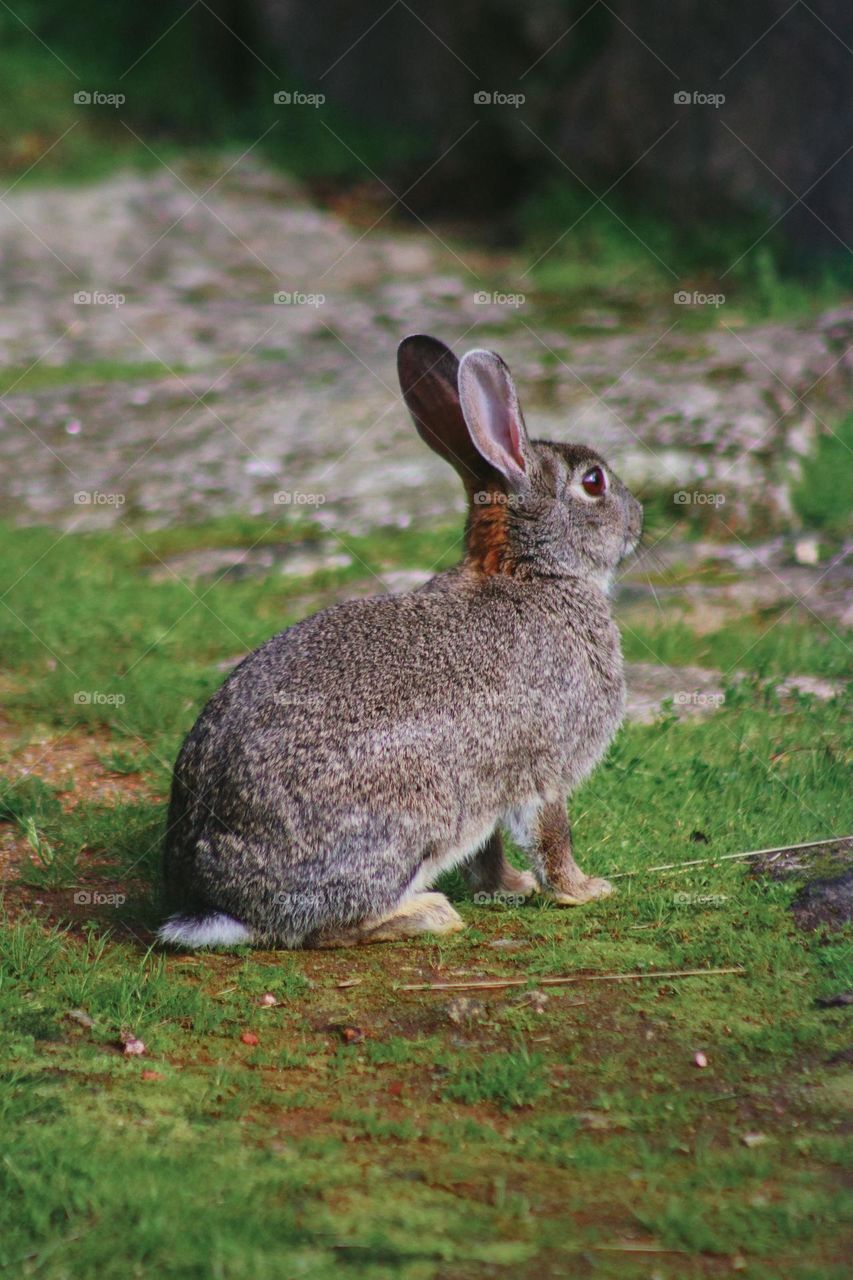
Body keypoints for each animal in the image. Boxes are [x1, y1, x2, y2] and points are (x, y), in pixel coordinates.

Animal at [157, 334, 643, 950]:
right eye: (593, 482)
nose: (639, 519)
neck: (532, 573)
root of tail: (217, 900)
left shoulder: (487, 789)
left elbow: (488, 849)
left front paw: (510, 887)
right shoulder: (546, 767)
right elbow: (551, 837)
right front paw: (583, 890)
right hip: (407, 822)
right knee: (329, 928)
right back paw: (429, 913)